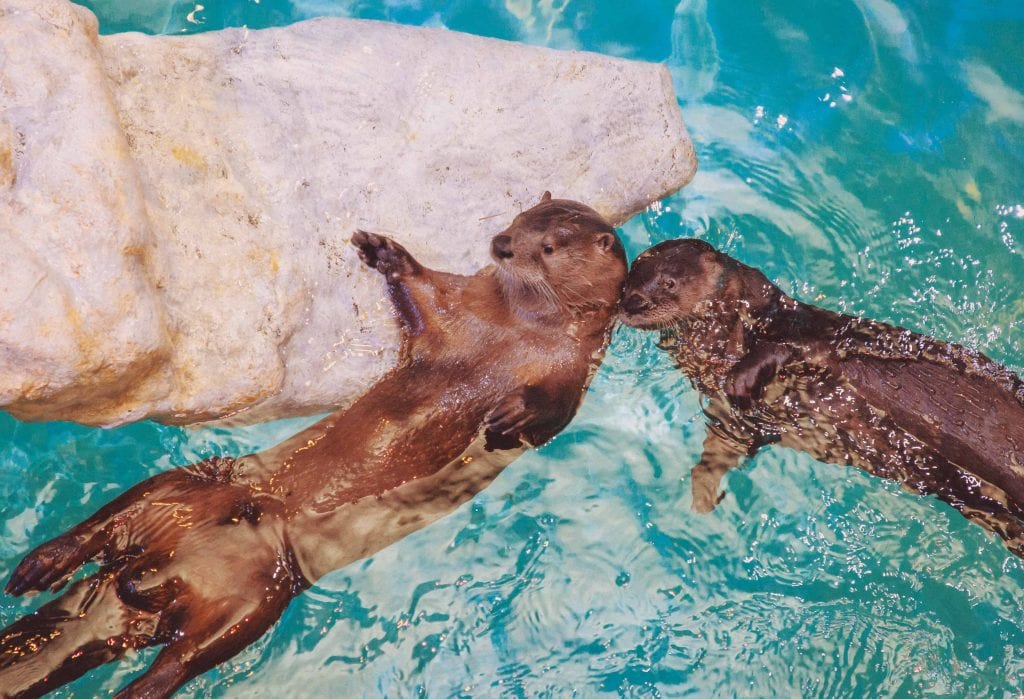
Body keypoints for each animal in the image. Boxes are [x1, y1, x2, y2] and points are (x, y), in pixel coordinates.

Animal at [0, 194, 627, 698]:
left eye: (547, 245)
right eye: (516, 221)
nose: (501, 245)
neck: (514, 333)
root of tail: (145, 579)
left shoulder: (576, 369)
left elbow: (548, 420)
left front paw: (509, 412)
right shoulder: (455, 306)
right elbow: (422, 293)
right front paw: (383, 251)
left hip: (256, 599)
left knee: (183, 655)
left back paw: (128, 673)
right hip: (187, 495)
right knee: (109, 524)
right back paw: (43, 562)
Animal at [620, 238, 1024, 556]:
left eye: (669, 282)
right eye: (628, 279)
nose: (632, 303)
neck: (722, 342)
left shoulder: (807, 336)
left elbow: (786, 350)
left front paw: (743, 377)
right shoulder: (735, 419)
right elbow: (720, 452)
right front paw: (702, 498)